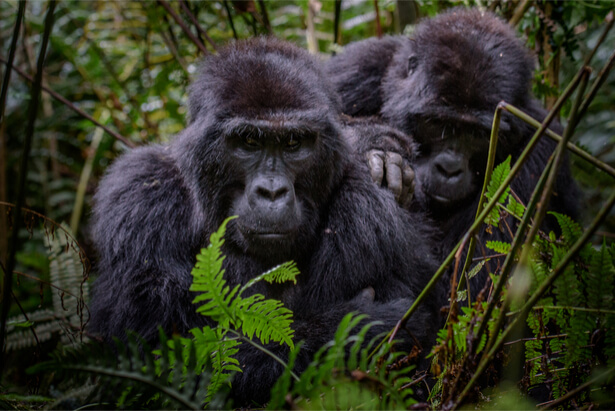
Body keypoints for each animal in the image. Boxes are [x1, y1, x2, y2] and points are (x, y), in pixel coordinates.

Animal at [89, 37, 440, 406]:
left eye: (293, 142)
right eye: (249, 141)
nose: (272, 192)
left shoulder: (368, 203)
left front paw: (375, 143)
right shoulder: (139, 196)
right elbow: (152, 358)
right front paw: (363, 327)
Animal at [324, 8, 580, 280]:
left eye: (479, 134)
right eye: (436, 123)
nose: (449, 169)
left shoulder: (543, 150)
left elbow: (461, 279)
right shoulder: (360, 66)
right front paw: (371, 139)